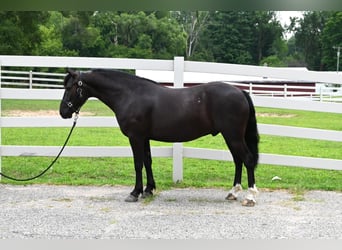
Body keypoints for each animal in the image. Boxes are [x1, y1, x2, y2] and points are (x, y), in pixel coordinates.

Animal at [60, 69, 260, 206]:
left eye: (70, 87)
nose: (63, 112)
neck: (130, 95)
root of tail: (240, 92)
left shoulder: (135, 137)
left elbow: (138, 164)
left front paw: (134, 193)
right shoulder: (144, 137)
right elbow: (147, 161)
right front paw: (148, 190)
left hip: (233, 136)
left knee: (247, 159)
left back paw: (250, 196)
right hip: (231, 137)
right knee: (238, 161)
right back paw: (233, 192)